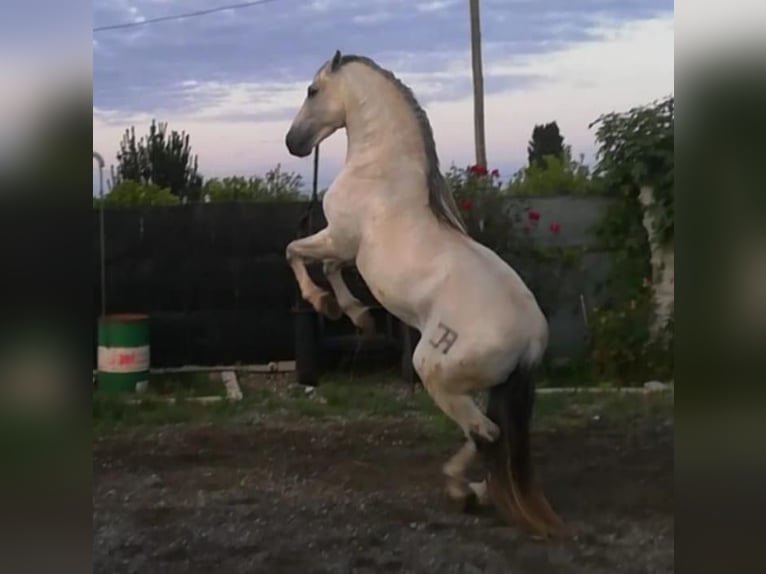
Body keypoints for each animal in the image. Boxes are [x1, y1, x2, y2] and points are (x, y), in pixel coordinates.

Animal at [284, 50, 569, 539]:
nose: (292, 142)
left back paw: (463, 492)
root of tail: (532, 338)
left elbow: (297, 253)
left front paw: (328, 304)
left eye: (312, 90)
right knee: (491, 434)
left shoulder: (339, 238)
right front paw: (357, 315)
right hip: (481, 385)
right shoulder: (346, 250)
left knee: (487, 434)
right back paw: (479, 490)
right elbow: (328, 268)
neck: (381, 173)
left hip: (434, 371)